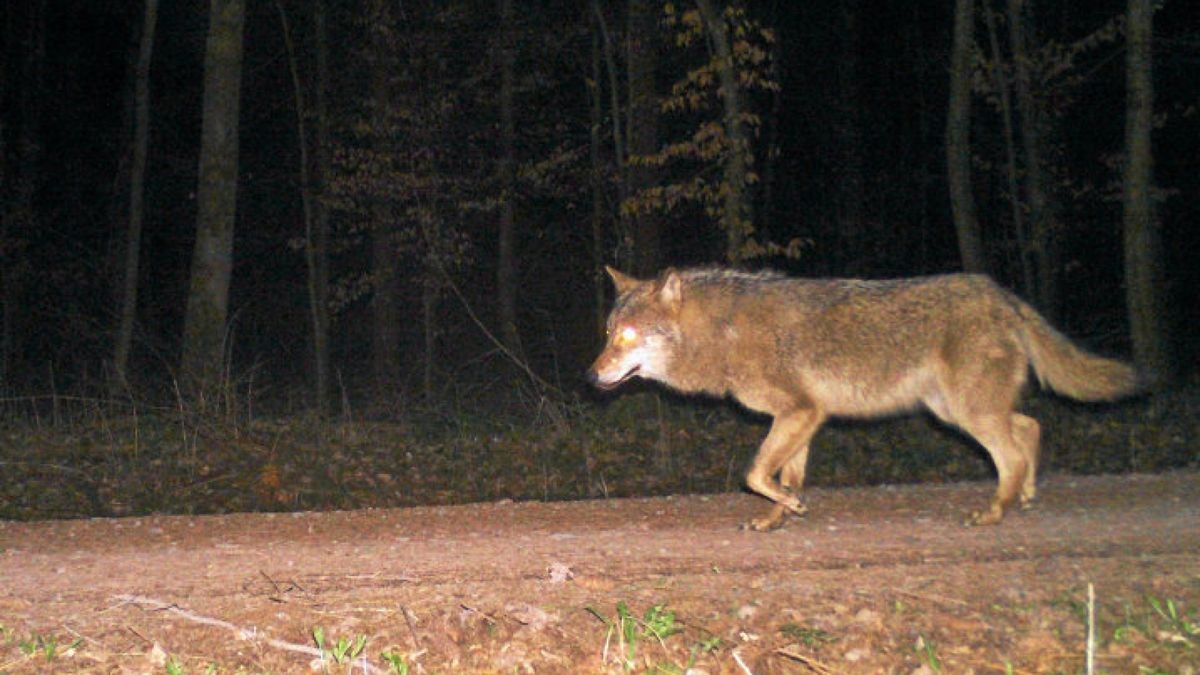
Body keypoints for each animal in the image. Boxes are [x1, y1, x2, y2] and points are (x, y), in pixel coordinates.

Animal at [585, 265, 1137, 528]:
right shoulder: (803, 418)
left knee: (1012, 452)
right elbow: (780, 477)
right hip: (955, 411)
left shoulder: (801, 412)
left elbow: (755, 474)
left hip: (967, 412)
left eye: (628, 337)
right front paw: (777, 518)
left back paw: (995, 511)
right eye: (609, 333)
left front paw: (789, 506)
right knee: (1030, 428)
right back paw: (1023, 496)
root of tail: (1003, 295)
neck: (723, 332)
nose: (590, 375)